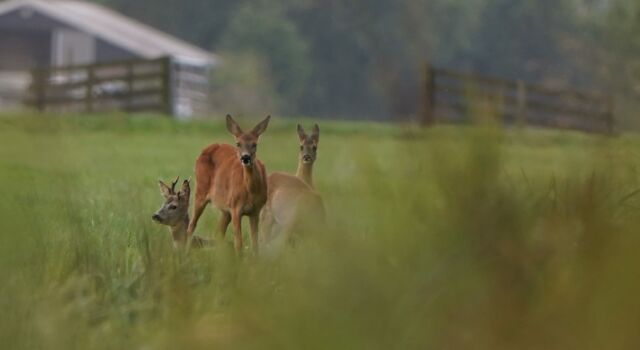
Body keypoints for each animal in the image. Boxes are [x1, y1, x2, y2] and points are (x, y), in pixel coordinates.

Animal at [189, 115, 272, 254]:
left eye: (254, 144)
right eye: (238, 143)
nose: (245, 158)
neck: (250, 191)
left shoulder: (255, 210)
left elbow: (255, 245)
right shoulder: (235, 208)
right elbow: (239, 244)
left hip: (225, 208)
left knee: (218, 232)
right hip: (200, 191)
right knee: (191, 225)